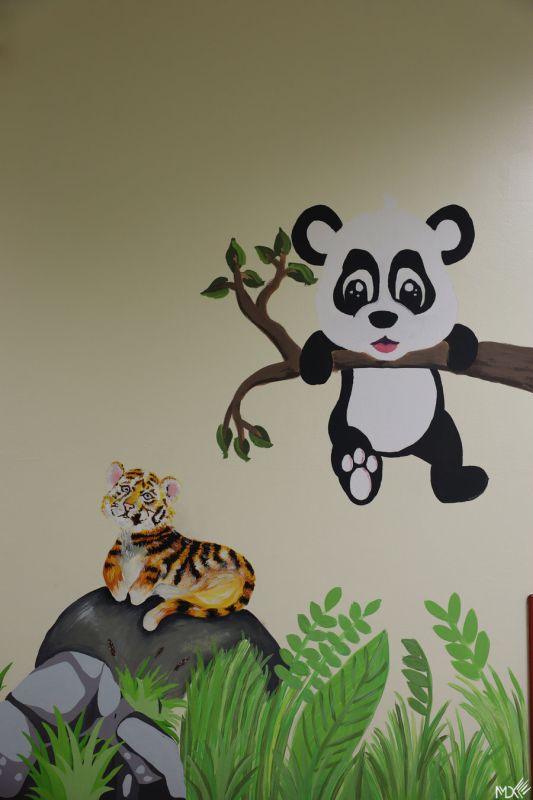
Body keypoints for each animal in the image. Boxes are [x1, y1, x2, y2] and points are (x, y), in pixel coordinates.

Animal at [101, 461, 255, 631]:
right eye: (125, 489)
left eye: (147, 496)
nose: (128, 506)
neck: (131, 536)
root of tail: (249, 571)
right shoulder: (115, 551)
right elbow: (108, 568)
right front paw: (119, 590)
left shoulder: (158, 563)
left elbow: (144, 580)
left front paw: (135, 595)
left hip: (214, 590)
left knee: (182, 603)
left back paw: (150, 619)